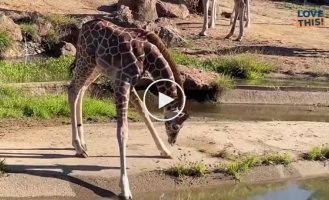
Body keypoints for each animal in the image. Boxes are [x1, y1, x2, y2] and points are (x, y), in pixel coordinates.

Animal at [67, 18, 188, 198]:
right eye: (175, 126)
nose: (172, 141)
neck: (148, 56)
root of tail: (85, 26)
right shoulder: (122, 82)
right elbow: (122, 131)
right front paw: (125, 188)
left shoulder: (130, 83)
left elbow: (144, 111)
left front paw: (164, 151)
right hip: (86, 60)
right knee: (73, 90)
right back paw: (78, 147)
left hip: (96, 66)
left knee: (81, 90)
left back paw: (83, 143)